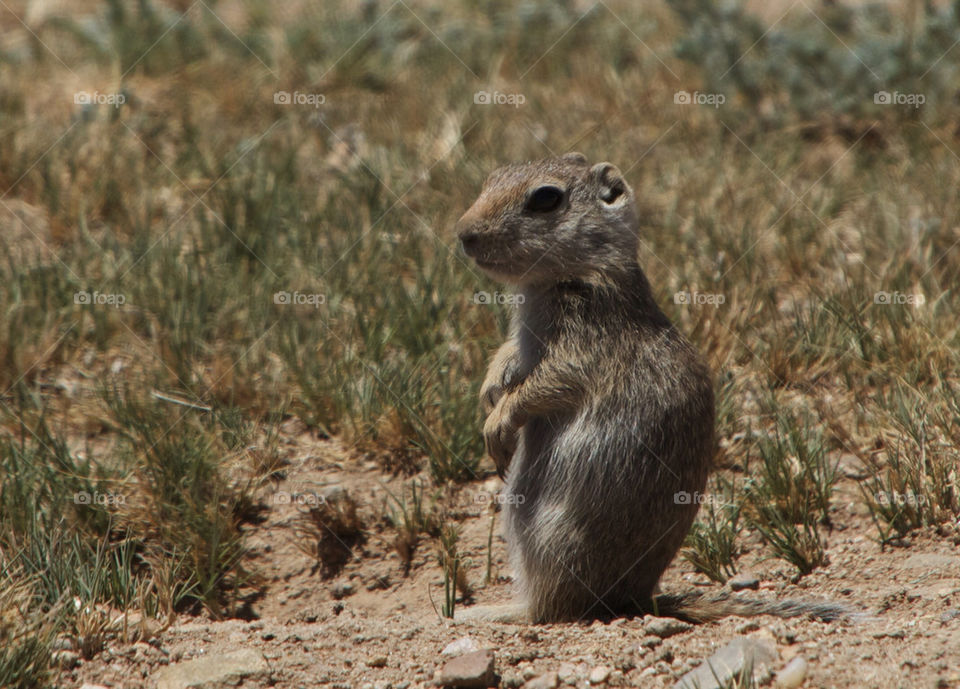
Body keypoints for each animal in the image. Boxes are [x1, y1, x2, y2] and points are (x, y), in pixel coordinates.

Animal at [456, 152, 848, 624]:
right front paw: (490, 390)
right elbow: (509, 355)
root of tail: (637, 599)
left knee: (551, 610)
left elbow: (546, 384)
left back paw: (489, 613)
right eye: (493, 177)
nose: (464, 234)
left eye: (546, 198)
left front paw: (497, 423)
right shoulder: (527, 342)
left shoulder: (582, 349)